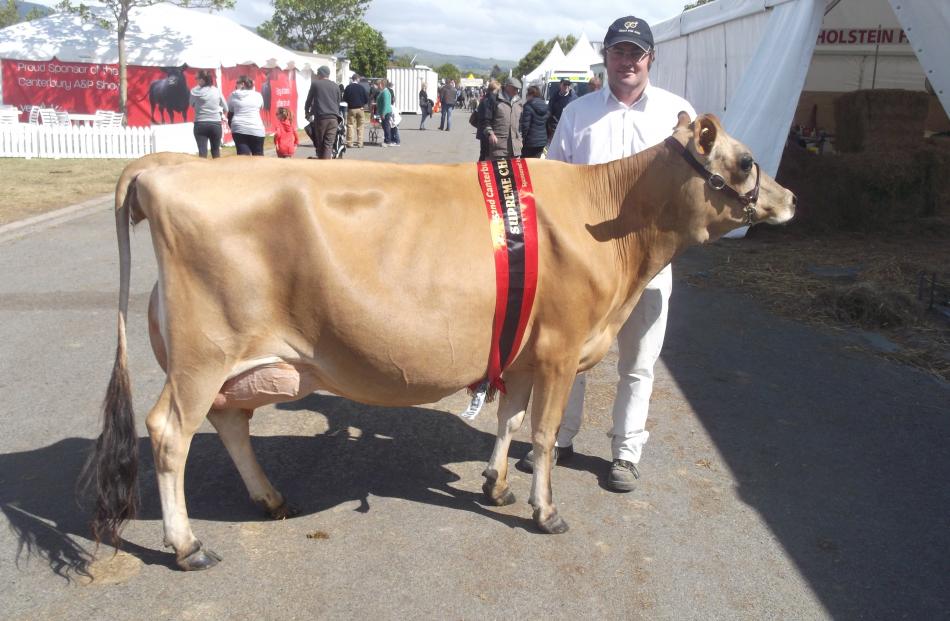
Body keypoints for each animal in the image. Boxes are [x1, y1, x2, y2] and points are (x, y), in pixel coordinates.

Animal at [91, 114, 796, 568]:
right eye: (745, 162)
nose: (790, 198)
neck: (613, 223)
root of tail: (166, 166)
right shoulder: (562, 346)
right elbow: (544, 434)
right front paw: (544, 511)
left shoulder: (522, 348)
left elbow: (510, 418)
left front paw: (496, 485)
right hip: (202, 355)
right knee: (171, 433)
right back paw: (187, 546)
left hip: (234, 361)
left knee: (229, 423)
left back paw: (269, 499)